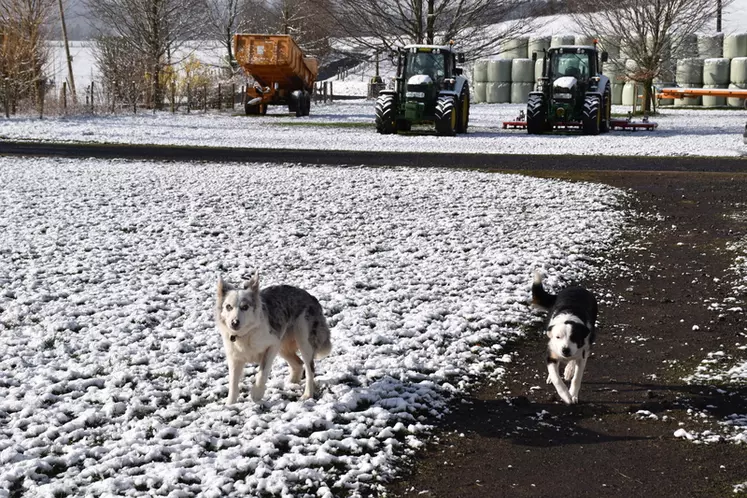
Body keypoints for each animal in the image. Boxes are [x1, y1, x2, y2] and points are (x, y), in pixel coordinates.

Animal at [528, 272, 600, 404]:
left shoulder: (582, 354)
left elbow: (577, 377)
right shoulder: (551, 354)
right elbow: (556, 378)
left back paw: (569, 370)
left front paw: (573, 395)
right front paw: (565, 396)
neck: (569, 317)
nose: (565, 350)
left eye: (574, 337)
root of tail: (577, 287)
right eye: (558, 337)